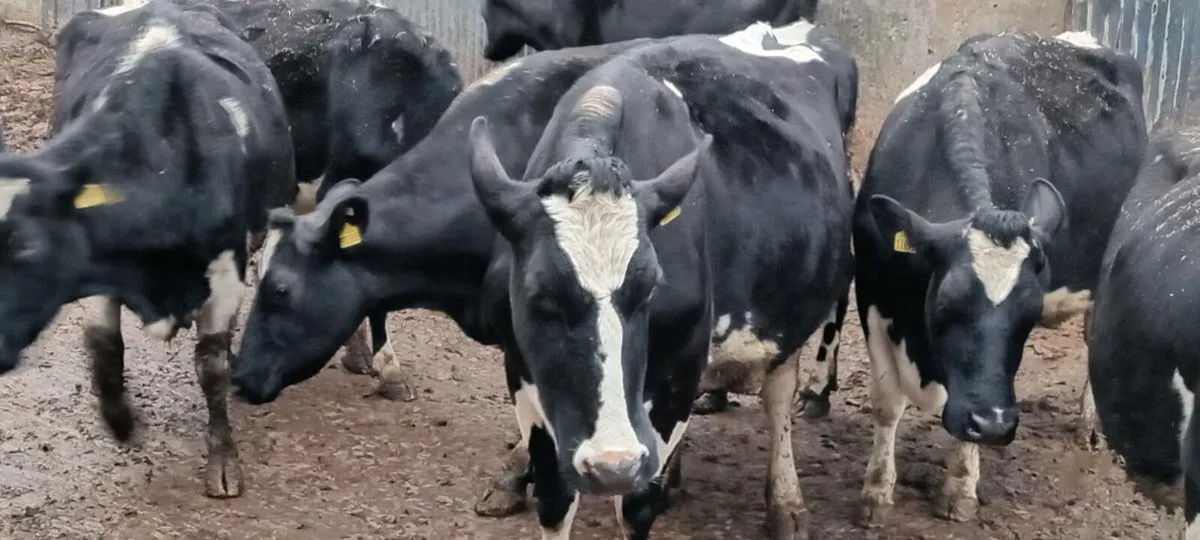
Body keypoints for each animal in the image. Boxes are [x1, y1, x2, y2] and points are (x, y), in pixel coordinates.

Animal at [0, 0, 294, 498]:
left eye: (27, 249)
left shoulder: (226, 270)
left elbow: (211, 364)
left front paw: (223, 459)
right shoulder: (100, 265)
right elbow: (105, 346)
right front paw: (120, 421)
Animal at [231, 18, 857, 540]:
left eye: (279, 290)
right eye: (537, 293)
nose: (241, 376)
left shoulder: (676, 371)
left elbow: (634, 498)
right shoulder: (523, 360)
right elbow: (556, 480)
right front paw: (515, 479)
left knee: (778, 392)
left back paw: (786, 503)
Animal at [852, 30, 1147, 526]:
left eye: (1028, 316)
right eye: (947, 303)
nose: (994, 424)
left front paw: (960, 486)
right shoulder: (872, 295)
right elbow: (887, 402)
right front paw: (875, 492)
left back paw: (1090, 427)